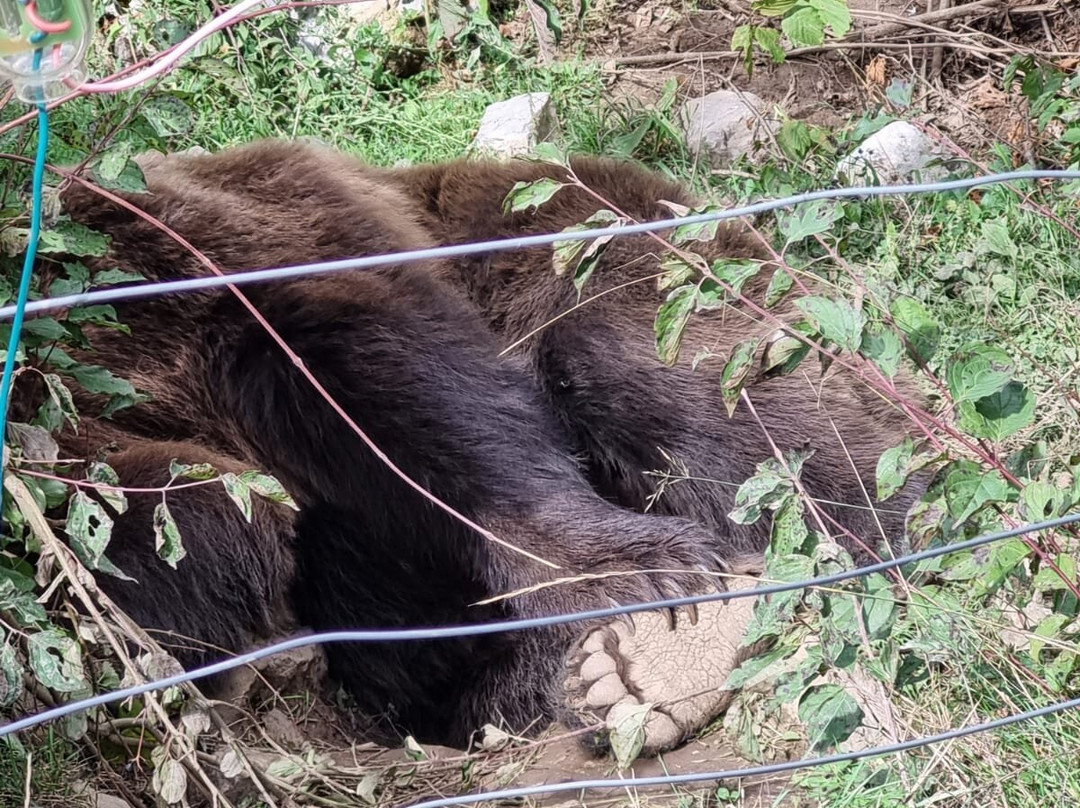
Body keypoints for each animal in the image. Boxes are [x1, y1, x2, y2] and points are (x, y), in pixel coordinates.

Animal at [31, 140, 924, 754]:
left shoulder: (210, 259)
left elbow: (407, 401)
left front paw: (640, 574)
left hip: (595, 242)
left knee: (683, 386)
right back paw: (613, 681)